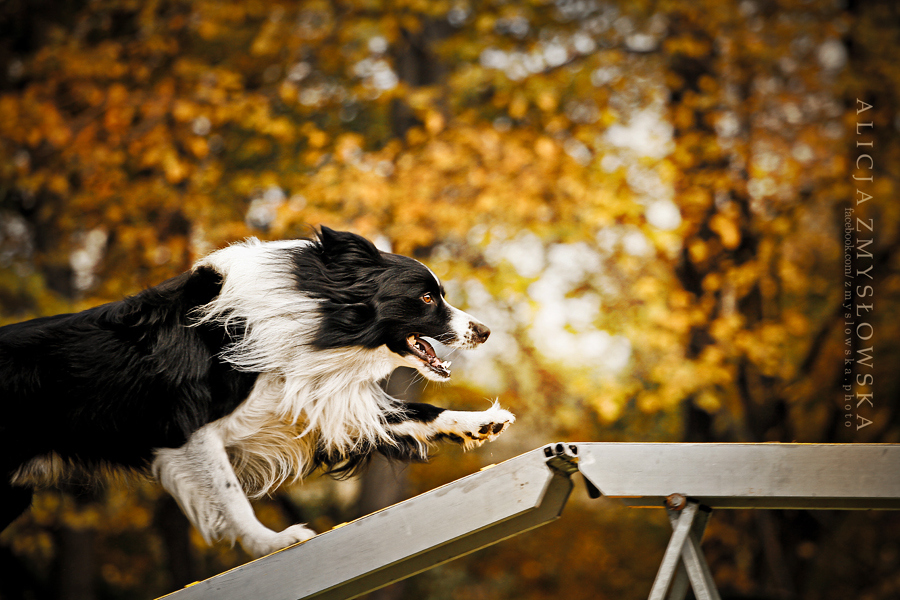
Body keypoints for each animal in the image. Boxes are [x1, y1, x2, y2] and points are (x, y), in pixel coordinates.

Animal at [1, 227, 512, 556]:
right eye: (426, 298)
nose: (485, 332)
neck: (315, 316)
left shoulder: (311, 400)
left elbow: (415, 411)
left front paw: (480, 423)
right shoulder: (189, 430)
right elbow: (230, 495)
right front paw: (271, 542)